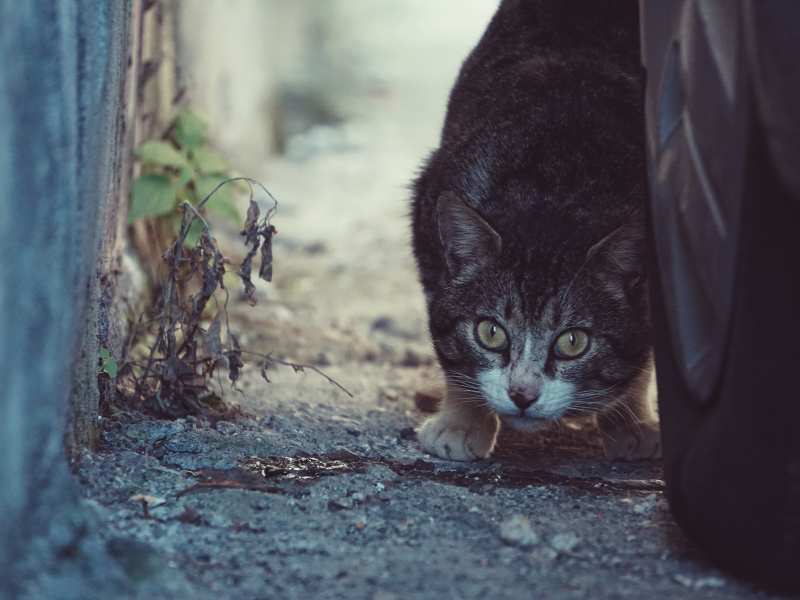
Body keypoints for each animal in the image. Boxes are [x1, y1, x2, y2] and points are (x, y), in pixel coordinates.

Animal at [410, 0, 660, 464]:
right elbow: (449, 340)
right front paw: (461, 421)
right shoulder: (429, 213)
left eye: (573, 342)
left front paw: (630, 419)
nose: (522, 394)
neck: (555, 183)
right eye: (490, 333)